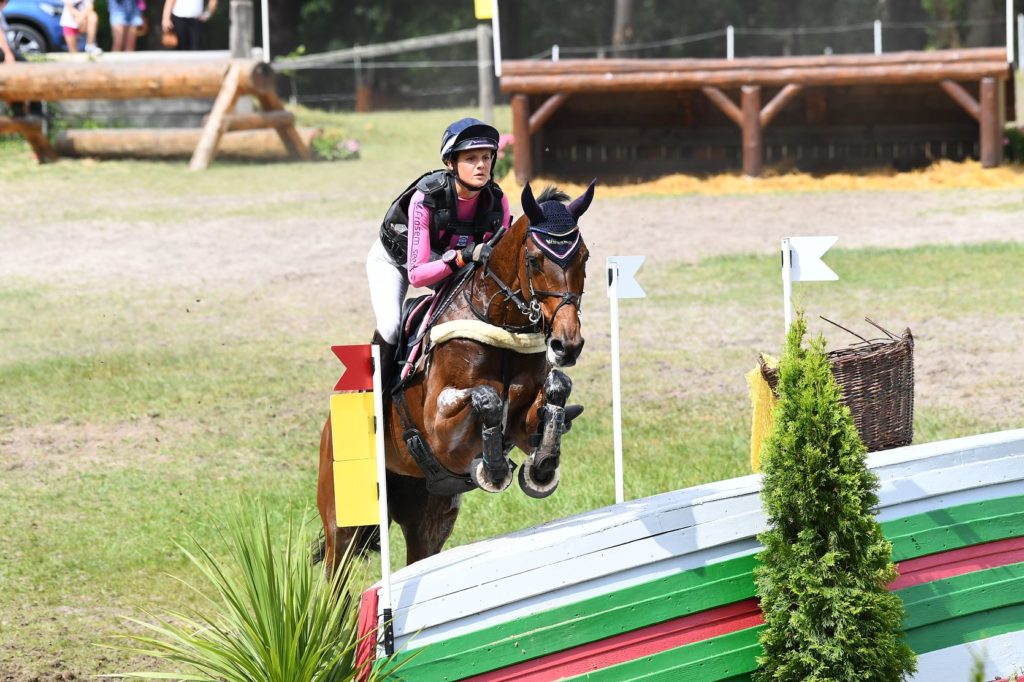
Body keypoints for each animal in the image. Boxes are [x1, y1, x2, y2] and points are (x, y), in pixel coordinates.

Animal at [317, 180, 593, 569]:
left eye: (584, 257)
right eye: (535, 260)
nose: (567, 345)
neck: (498, 322)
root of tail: (328, 428)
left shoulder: (523, 424)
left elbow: (555, 391)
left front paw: (542, 466)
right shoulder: (439, 433)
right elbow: (486, 397)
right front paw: (493, 470)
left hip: (429, 516)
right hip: (344, 520)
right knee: (334, 572)